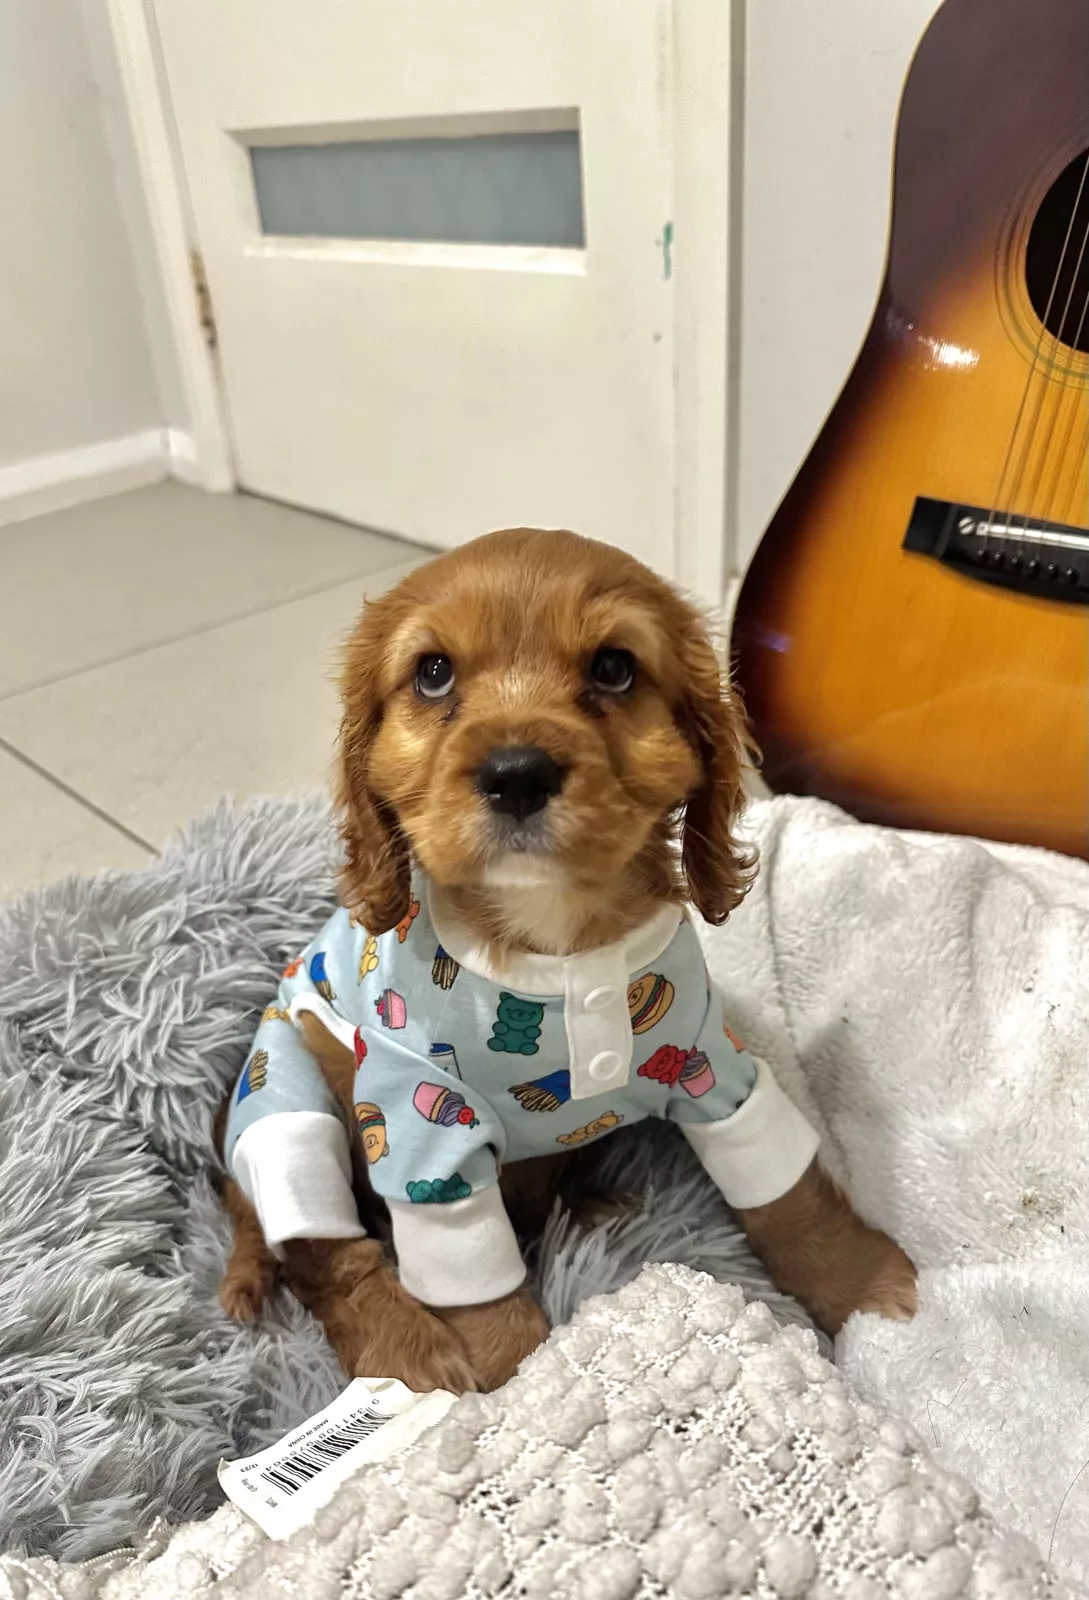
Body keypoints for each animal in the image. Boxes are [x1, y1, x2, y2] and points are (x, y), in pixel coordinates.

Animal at [218, 528, 916, 1393]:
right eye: (432, 672)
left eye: (614, 667)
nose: (515, 772)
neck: (556, 943)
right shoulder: (423, 1129)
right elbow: (479, 1290)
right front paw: (520, 1388)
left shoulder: (709, 1064)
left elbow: (787, 1197)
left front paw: (865, 1287)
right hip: (284, 1097)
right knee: (320, 1253)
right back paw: (406, 1355)